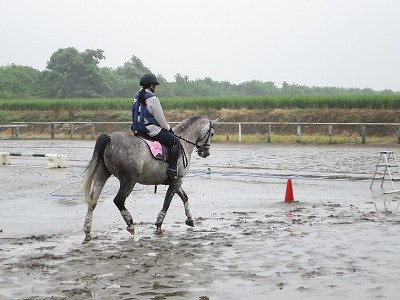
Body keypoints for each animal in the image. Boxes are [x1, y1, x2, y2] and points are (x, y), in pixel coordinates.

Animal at [82, 115, 217, 241]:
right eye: (212, 133)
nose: (206, 153)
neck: (183, 142)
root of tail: (110, 139)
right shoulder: (176, 181)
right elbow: (167, 202)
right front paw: (159, 224)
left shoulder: (176, 181)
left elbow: (184, 197)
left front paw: (189, 219)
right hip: (128, 181)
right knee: (118, 200)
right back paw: (130, 224)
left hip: (102, 174)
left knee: (93, 200)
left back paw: (87, 230)